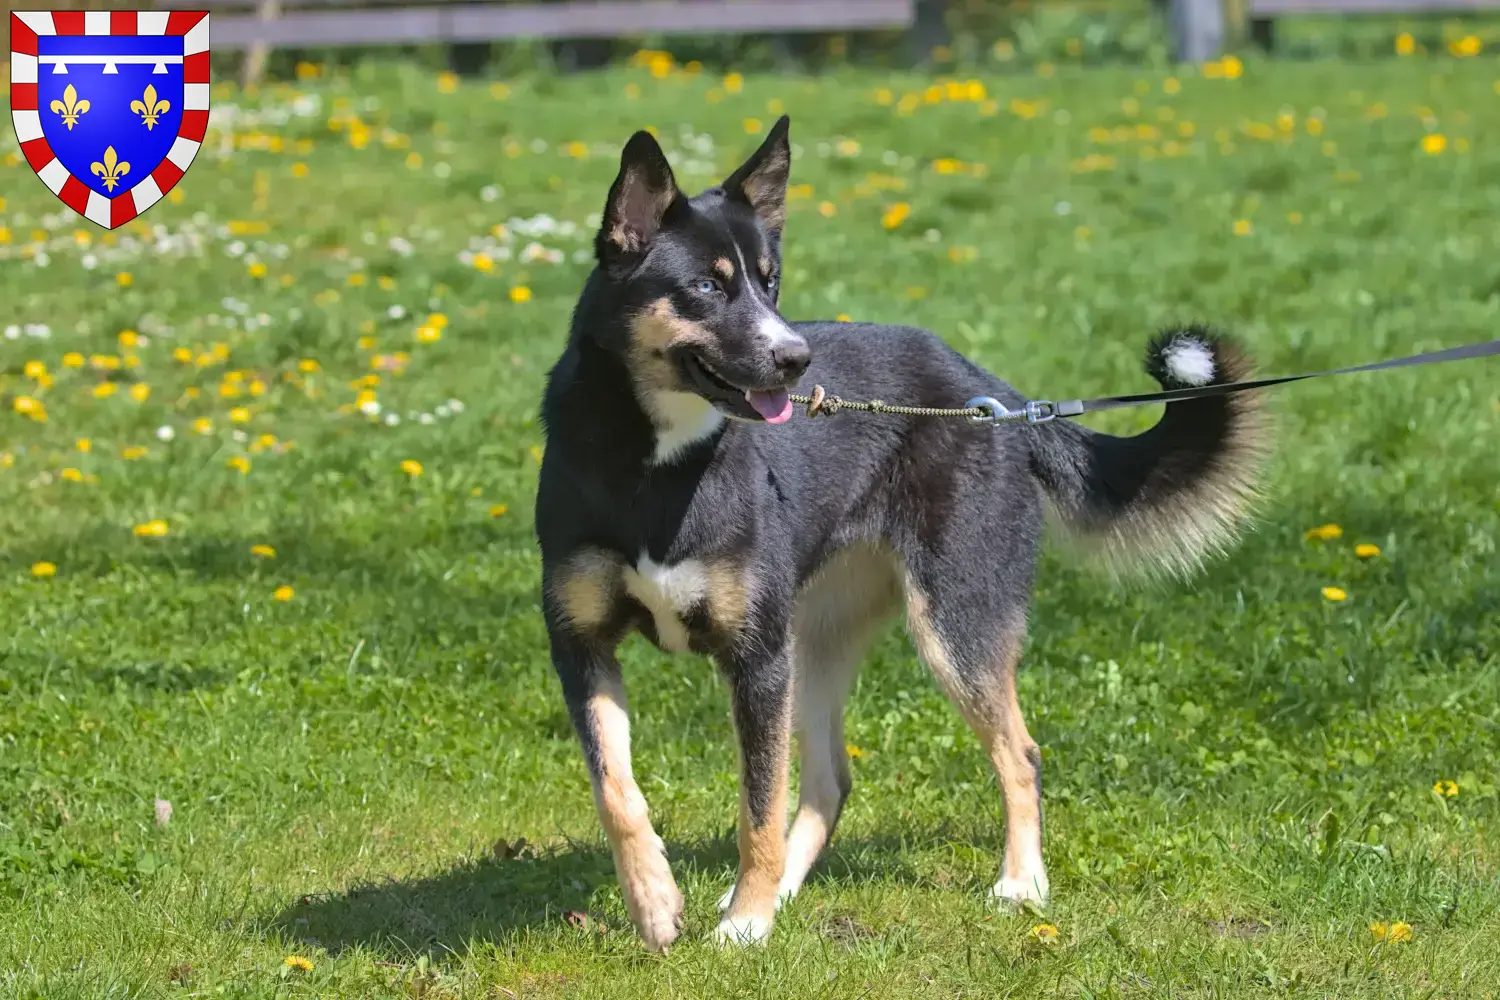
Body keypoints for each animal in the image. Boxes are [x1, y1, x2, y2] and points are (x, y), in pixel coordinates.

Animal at [540, 113, 1266, 953]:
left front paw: (745, 925)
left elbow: (756, 805)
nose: (797, 360)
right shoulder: (584, 646)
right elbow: (618, 791)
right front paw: (658, 902)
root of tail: (995, 395)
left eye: (770, 282)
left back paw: (1020, 883)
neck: (654, 462)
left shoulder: (756, 659)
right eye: (707, 286)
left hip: (951, 621)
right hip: (814, 638)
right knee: (829, 780)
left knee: (1019, 753)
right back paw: (779, 891)